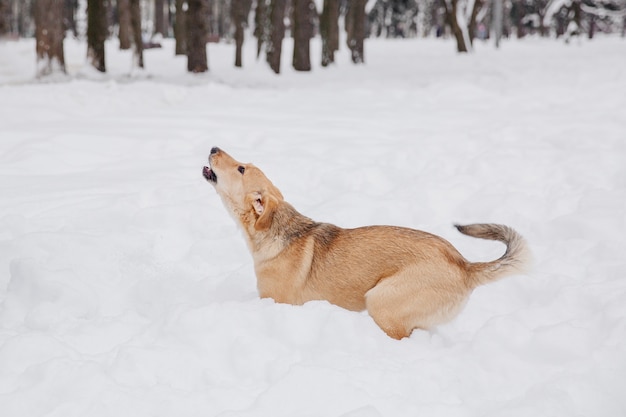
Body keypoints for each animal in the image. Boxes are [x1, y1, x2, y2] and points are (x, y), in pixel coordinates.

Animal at [204, 146, 528, 338]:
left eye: (241, 168)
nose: (213, 148)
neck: (276, 232)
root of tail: (465, 265)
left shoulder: (278, 302)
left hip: (381, 301)